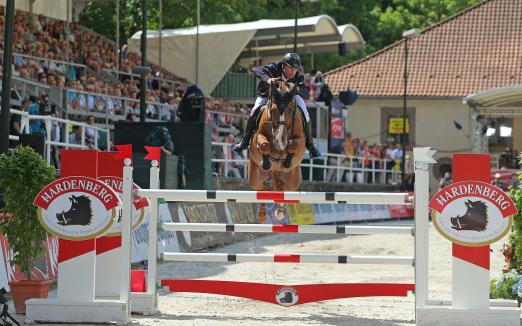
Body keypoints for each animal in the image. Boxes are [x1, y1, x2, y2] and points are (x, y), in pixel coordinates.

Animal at [247, 81, 304, 223]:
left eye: (290, 110)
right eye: (272, 110)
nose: (280, 140)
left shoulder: (300, 140)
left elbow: (293, 144)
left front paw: (287, 160)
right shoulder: (258, 136)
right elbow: (264, 144)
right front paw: (266, 162)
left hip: (293, 180)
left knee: (283, 190)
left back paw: (280, 211)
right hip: (255, 176)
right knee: (263, 189)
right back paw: (263, 213)